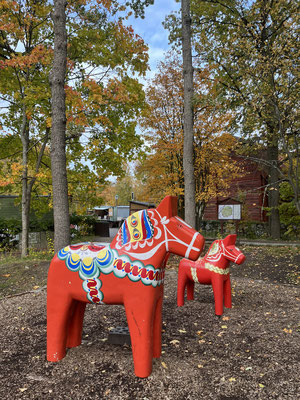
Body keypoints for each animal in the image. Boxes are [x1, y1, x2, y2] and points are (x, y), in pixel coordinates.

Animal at [47, 197, 205, 378]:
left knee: (74, 318)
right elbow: (142, 337)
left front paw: (156, 357)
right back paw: (55, 358)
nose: (202, 243)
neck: (139, 258)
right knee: (56, 323)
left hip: (78, 299)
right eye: (178, 225)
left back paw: (74, 346)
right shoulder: (137, 305)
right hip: (58, 298)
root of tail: (56, 256)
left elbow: (155, 332)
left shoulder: (156, 302)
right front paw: (143, 373)